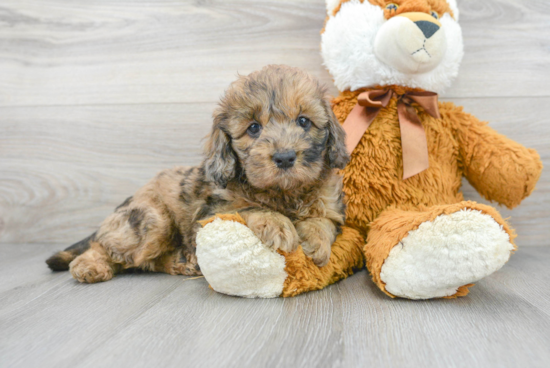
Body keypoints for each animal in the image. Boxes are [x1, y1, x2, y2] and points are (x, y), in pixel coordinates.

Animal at [46, 64, 350, 284]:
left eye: (304, 121)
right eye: (253, 128)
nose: (285, 157)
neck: (285, 193)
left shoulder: (330, 204)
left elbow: (324, 220)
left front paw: (315, 240)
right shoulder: (212, 213)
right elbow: (249, 207)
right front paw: (277, 224)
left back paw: (183, 263)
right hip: (151, 221)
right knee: (107, 247)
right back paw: (89, 266)